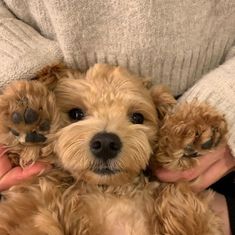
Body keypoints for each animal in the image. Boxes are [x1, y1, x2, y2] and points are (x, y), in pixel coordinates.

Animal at [0, 63, 226, 234]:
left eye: (137, 117)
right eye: (75, 114)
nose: (106, 144)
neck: (109, 189)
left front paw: (192, 128)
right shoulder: (34, 201)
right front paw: (26, 113)